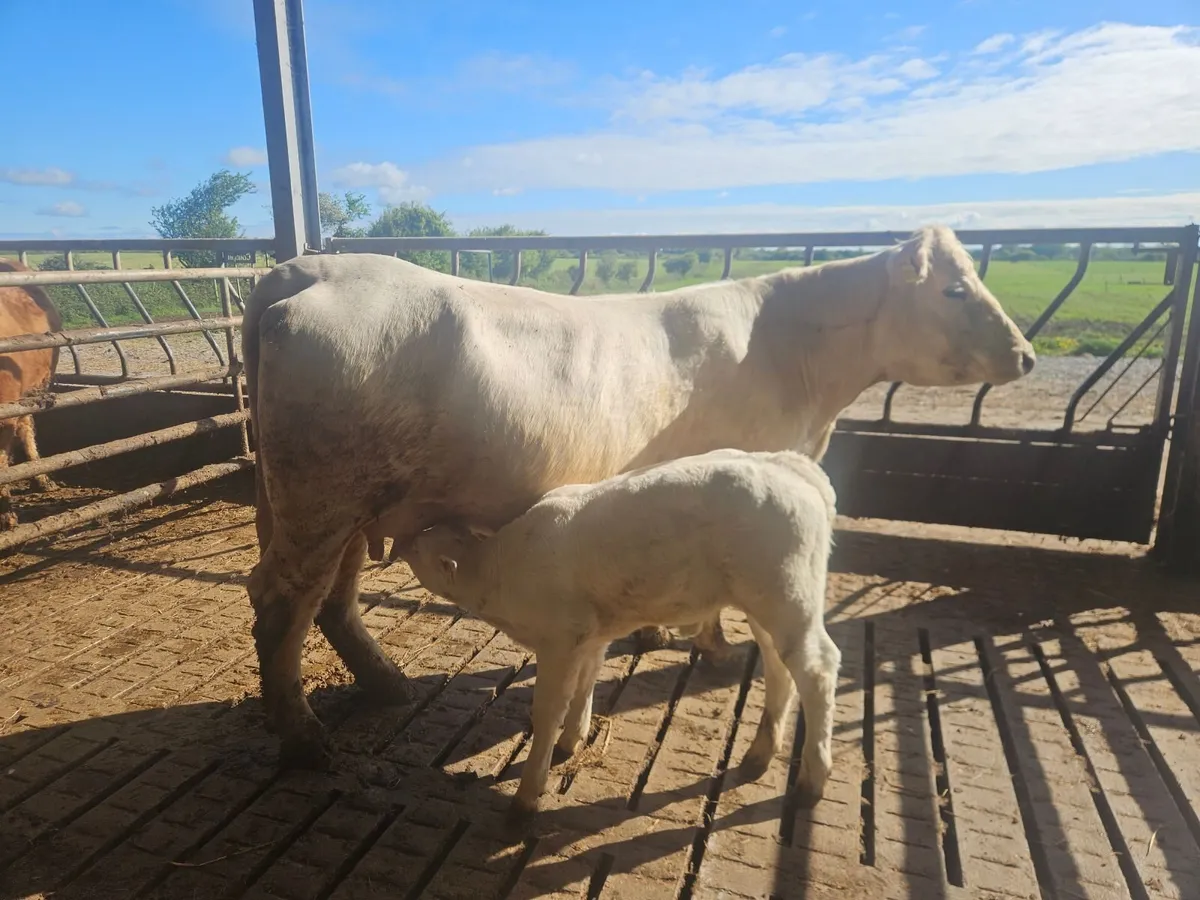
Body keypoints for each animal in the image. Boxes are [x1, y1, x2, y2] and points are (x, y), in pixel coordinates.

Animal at [242, 224, 1035, 768]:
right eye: (955, 289)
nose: (1027, 354)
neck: (800, 366)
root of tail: (304, 267)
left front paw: (659, 633)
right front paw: (707, 641)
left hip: (345, 501)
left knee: (332, 599)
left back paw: (384, 684)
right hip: (321, 491)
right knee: (284, 598)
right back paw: (303, 735)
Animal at [404, 448, 840, 822]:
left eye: (420, 546)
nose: (398, 542)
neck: (501, 569)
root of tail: (788, 464)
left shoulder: (560, 638)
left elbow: (547, 712)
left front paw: (527, 795)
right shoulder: (592, 633)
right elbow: (585, 686)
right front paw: (572, 741)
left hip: (786, 593)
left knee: (817, 669)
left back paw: (811, 781)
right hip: (768, 602)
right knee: (779, 665)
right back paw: (759, 755)